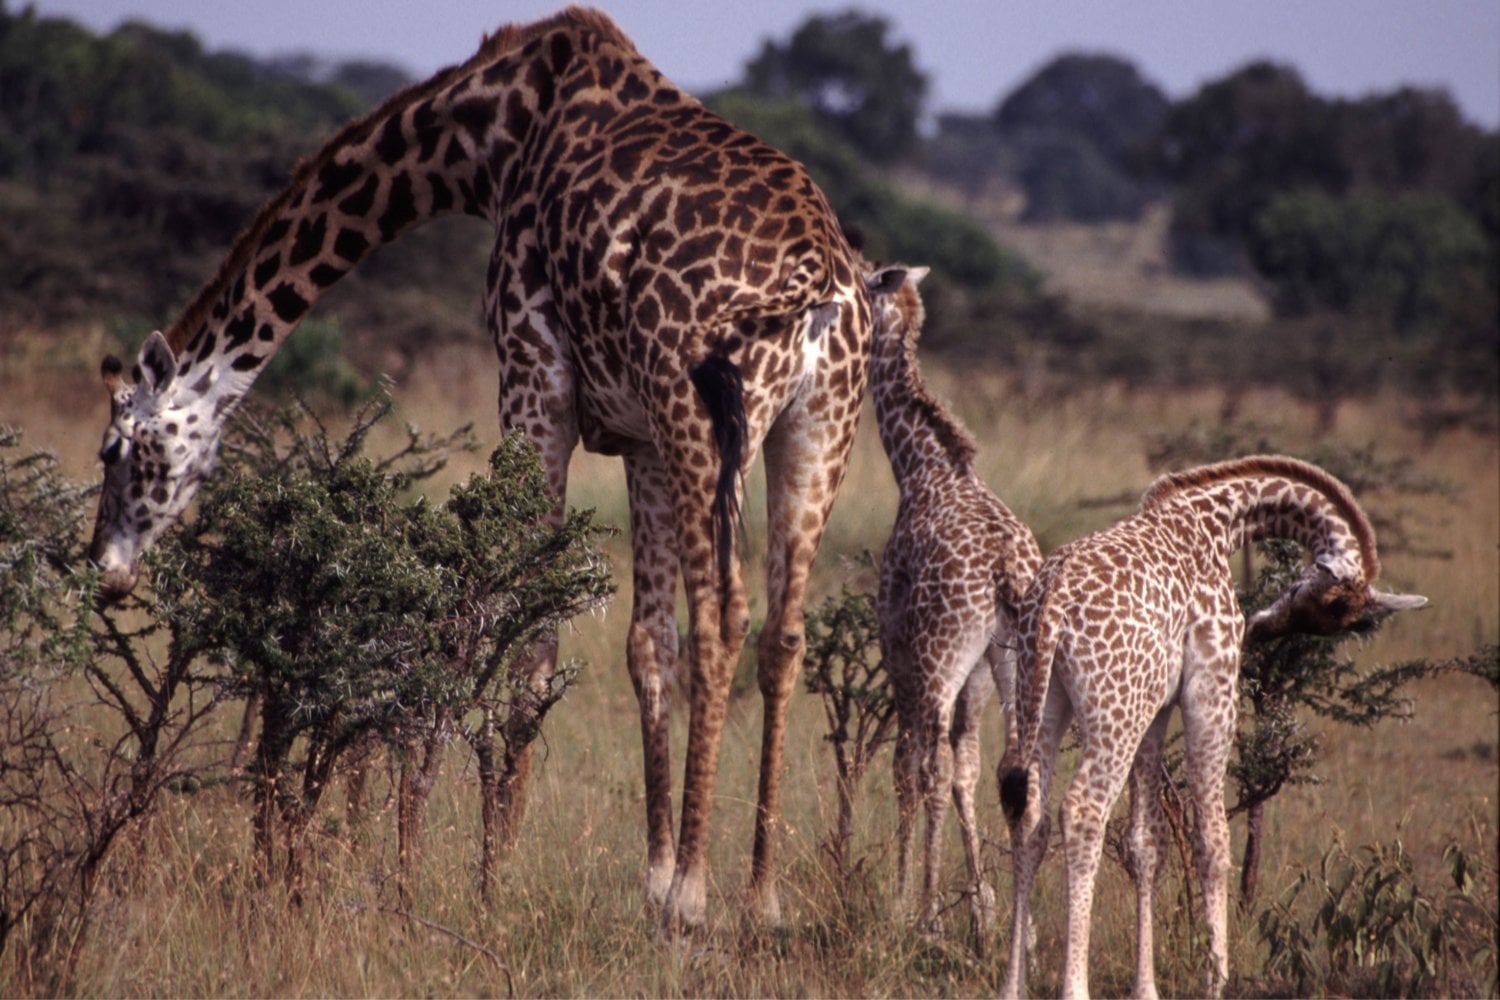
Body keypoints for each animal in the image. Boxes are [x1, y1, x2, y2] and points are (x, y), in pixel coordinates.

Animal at [86, 7, 873, 933]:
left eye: (117, 451)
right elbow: (646, 644)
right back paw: (760, 895)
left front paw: (494, 880)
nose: (105, 570)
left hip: (706, 422)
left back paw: (696, 893)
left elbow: (531, 636)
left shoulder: (533, 375)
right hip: (816, 430)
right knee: (783, 631)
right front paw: (645, 876)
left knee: (726, 619)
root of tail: (817, 283)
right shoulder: (638, 436)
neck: (486, 136)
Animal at [864, 264, 1042, 952]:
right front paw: (985, 911)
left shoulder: (901, 649)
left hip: (942, 656)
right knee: (1016, 765)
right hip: (1016, 662)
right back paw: (1024, 928)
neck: (922, 469)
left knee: (931, 768)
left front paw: (908, 901)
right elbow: (968, 771)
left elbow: (909, 767)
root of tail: (1004, 570)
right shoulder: (978, 675)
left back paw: (923, 915)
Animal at [997, 455, 1426, 999]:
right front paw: (1216, 977)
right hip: (1113, 712)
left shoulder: (1157, 708)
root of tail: (1052, 602)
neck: (1215, 523)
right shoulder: (1211, 686)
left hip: (1045, 697)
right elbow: (1212, 838)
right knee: (1082, 811)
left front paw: (1147, 989)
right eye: (1326, 602)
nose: (1259, 628)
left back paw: (1012, 986)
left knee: (1032, 814)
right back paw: (1074, 987)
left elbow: (1145, 842)